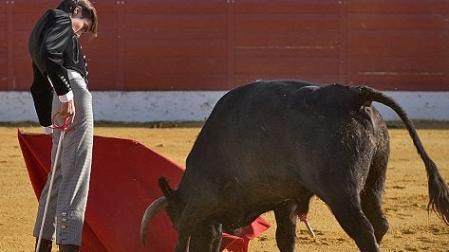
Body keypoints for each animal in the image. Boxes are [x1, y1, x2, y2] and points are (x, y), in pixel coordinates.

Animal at [140, 80, 448, 252]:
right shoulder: (284, 200)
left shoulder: (198, 208)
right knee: (380, 223)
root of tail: (354, 95)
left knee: (364, 230)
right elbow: (285, 238)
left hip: (341, 192)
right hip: (373, 182)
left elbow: (182, 237)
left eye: (172, 219)